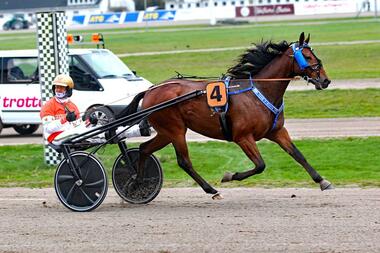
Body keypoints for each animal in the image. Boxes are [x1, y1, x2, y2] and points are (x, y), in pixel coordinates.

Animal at [129, 31, 332, 199]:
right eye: (307, 56)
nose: (325, 80)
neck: (259, 92)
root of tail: (149, 91)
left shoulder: (277, 131)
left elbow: (298, 155)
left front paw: (322, 181)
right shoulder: (242, 137)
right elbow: (260, 165)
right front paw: (229, 176)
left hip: (166, 132)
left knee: (144, 149)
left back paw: (137, 182)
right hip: (175, 130)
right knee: (184, 162)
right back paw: (211, 190)